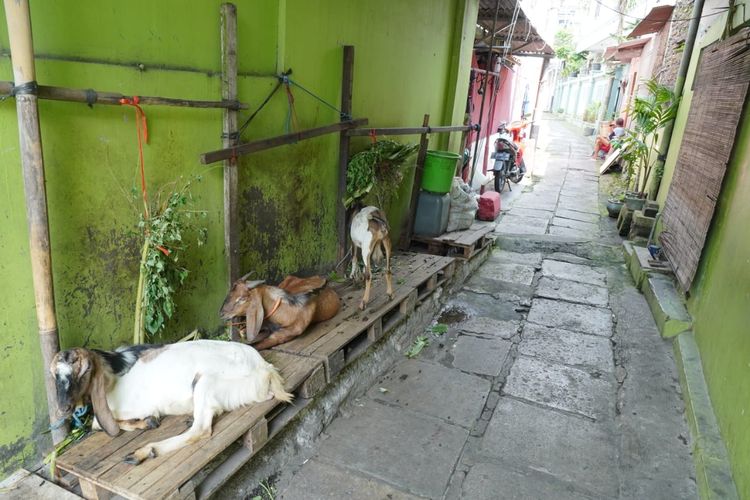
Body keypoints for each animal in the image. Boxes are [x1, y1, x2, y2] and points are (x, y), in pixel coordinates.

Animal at [51, 340, 292, 464]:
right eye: (55, 375)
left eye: (83, 372)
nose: (63, 408)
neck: (115, 371)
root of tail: (264, 369)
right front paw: (147, 422)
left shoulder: (131, 407)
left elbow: (97, 423)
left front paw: (147, 422)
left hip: (204, 383)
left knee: (201, 430)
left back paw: (144, 451)